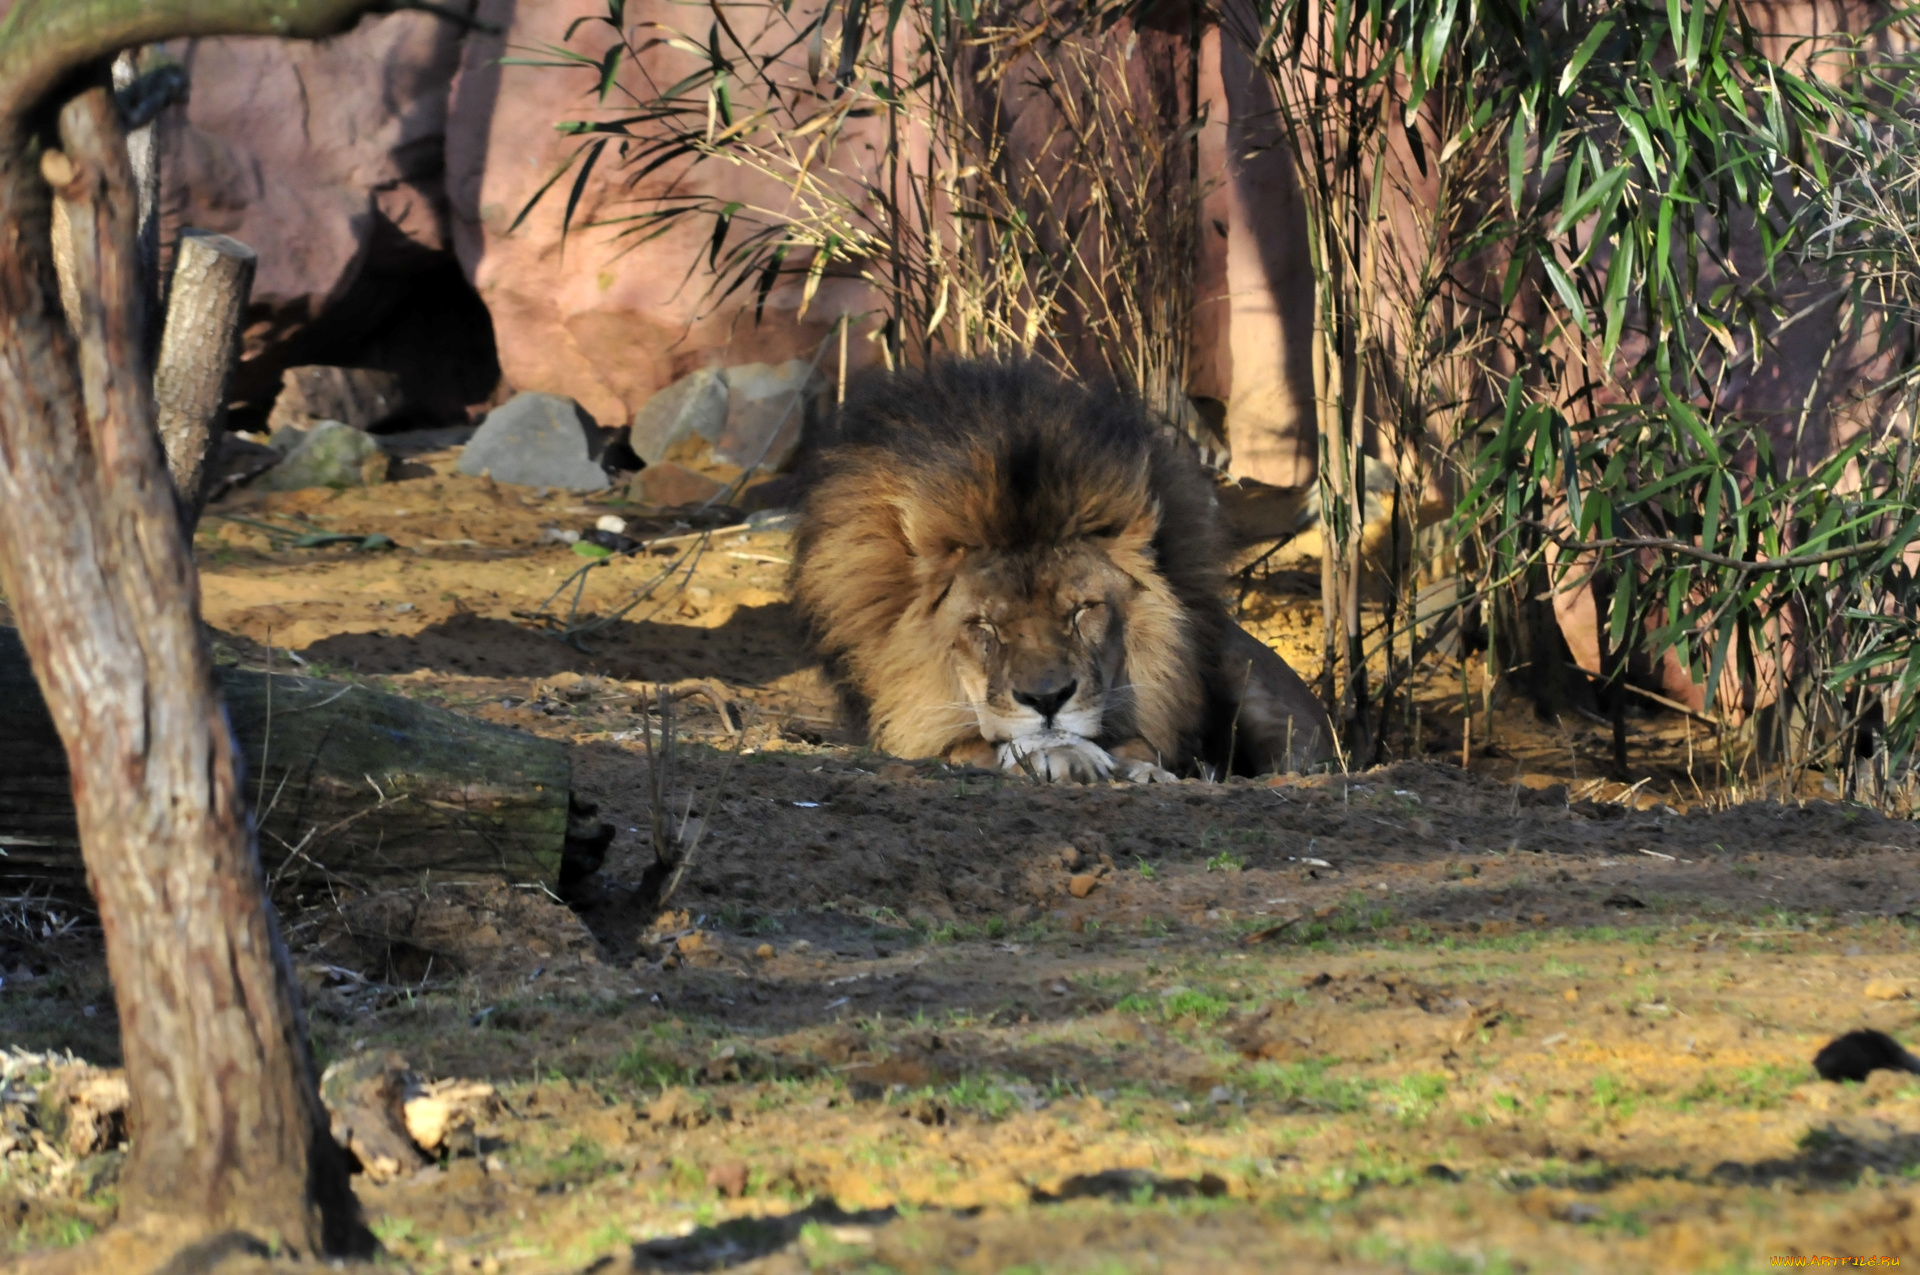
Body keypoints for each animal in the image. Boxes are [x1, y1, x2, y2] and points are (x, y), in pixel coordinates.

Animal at [787, 353, 1328, 783]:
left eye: (1082, 610)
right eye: (984, 626)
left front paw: (1144, 768)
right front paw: (1062, 754)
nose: (1047, 701)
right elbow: (985, 742)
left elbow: (1144, 743)